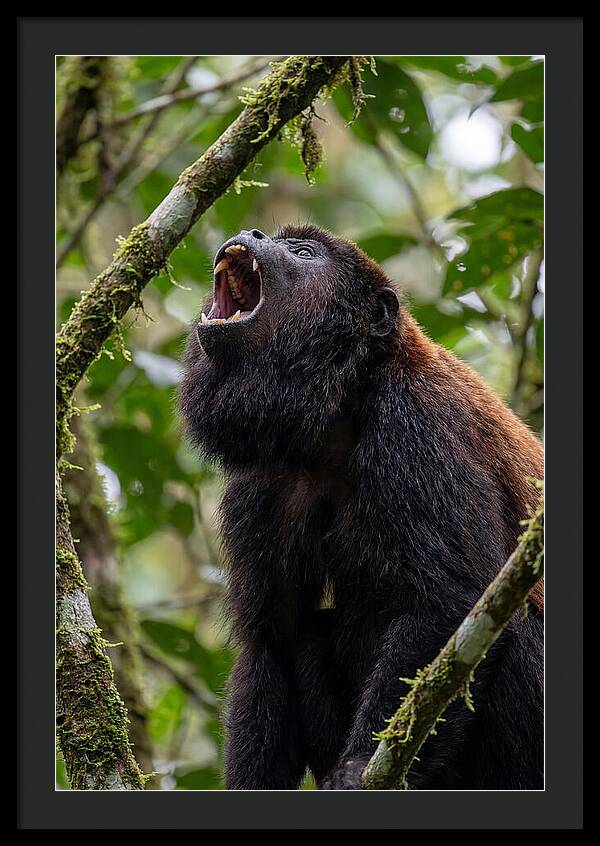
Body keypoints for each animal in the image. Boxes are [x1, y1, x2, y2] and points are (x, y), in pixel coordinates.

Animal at [179, 225, 544, 790]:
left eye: (303, 253)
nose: (253, 232)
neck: (341, 410)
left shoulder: (416, 426)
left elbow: (450, 602)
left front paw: (355, 768)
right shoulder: (261, 483)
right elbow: (272, 640)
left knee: (517, 624)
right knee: (307, 636)